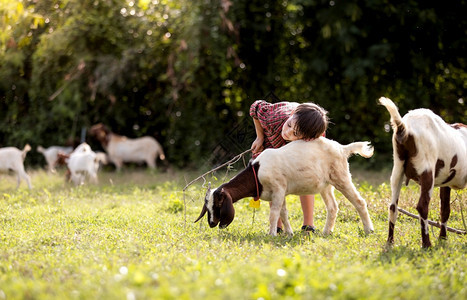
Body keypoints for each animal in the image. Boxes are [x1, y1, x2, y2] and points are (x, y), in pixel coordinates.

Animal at [196, 138, 374, 237]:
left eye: (219, 203)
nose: (212, 223)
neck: (257, 172)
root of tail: (343, 149)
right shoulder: (279, 193)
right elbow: (284, 213)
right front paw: (289, 233)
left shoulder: (279, 188)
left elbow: (274, 214)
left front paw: (271, 234)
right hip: (325, 185)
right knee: (332, 207)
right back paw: (326, 232)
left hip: (341, 176)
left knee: (359, 202)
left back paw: (368, 230)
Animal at [380, 97, 467, 247]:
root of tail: (404, 127)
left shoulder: (445, 183)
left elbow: (445, 209)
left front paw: (442, 238)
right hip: (427, 171)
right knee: (422, 206)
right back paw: (427, 244)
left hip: (397, 169)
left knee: (393, 207)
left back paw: (390, 242)